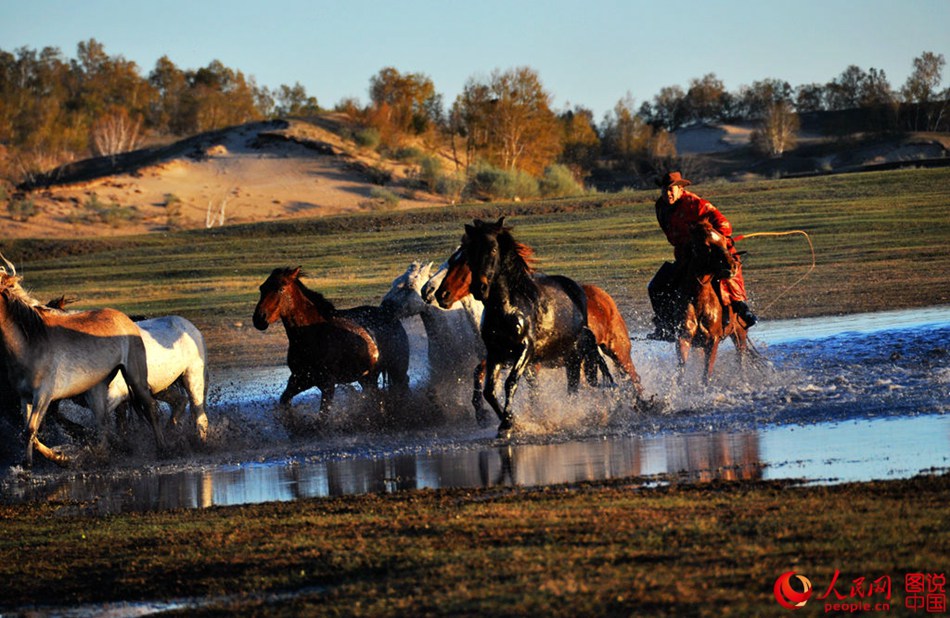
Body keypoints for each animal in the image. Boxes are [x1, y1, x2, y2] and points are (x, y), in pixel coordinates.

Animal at [0, 253, 165, 464]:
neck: (30, 344)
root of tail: (125, 318)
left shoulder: (44, 395)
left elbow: (30, 430)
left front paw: (49, 461)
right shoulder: (25, 397)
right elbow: (30, 434)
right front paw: (57, 458)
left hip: (135, 377)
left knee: (149, 408)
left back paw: (162, 449)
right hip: (96, 388)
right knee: (103, 423)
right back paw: (101, 455)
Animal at [253, 264, 410, 414]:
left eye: (281, 288)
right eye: (262, 288)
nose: (259, 319)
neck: (313, 334)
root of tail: (390, 315)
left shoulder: (327, 384)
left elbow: (323, 416)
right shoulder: (300, 379)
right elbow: (284, 401)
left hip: (397, 370)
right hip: (367, 377)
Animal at [462, 218, 604, 438]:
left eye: (493, 249)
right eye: (471, 250)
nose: (479, 288)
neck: (507, 308)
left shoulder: (525, 348)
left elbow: (510, 382)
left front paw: (507, 424)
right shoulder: (496, 352)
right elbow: (489, 391)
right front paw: (509, 422)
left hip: (574, 356)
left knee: (573, 388)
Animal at [676, 217, 752, 380]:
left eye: (724, 241)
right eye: (706, 245)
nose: (732, 266)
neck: (699, 301)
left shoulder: (713, 340)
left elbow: (707, 374)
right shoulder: (684, 337)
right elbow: (681, 369)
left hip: (740, 333)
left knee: (741, 358)